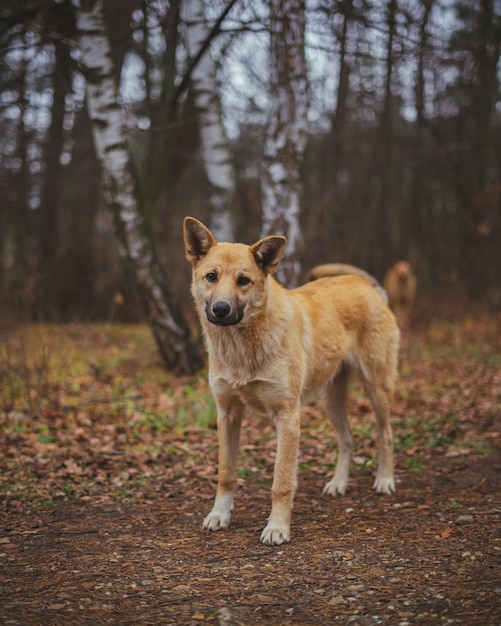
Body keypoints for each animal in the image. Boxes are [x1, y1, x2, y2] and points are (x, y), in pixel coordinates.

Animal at [184, 217, 398, 544]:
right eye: (211, 276)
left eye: (243, 280)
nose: (220, 310)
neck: (242, 347)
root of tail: (366, 286)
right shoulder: (228, 413)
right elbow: (226, 474)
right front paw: (220, 514)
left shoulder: (287, 416)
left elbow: (281, 482)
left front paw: (277, 527)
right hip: (331, 401)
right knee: (347, 440)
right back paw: (338, 483)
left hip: (377, 389)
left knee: (385, 434)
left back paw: (385, 479)